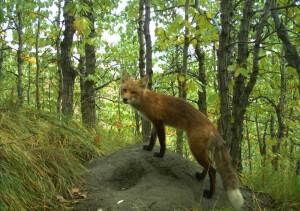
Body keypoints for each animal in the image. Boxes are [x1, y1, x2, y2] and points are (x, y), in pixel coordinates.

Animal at [119, 70, 244, 208]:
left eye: (133, 92)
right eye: (124, 90)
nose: (124, 99)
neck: (145, 99)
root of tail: (211, 124)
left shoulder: (159, 122)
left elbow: (162, 141)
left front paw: (160, 154)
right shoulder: (154, 124)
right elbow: (153, 139)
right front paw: (149, 148)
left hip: (195, 149)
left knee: (213, 170)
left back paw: (210, 193)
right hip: (200, 150)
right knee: (209, 165)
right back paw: (200, 177)